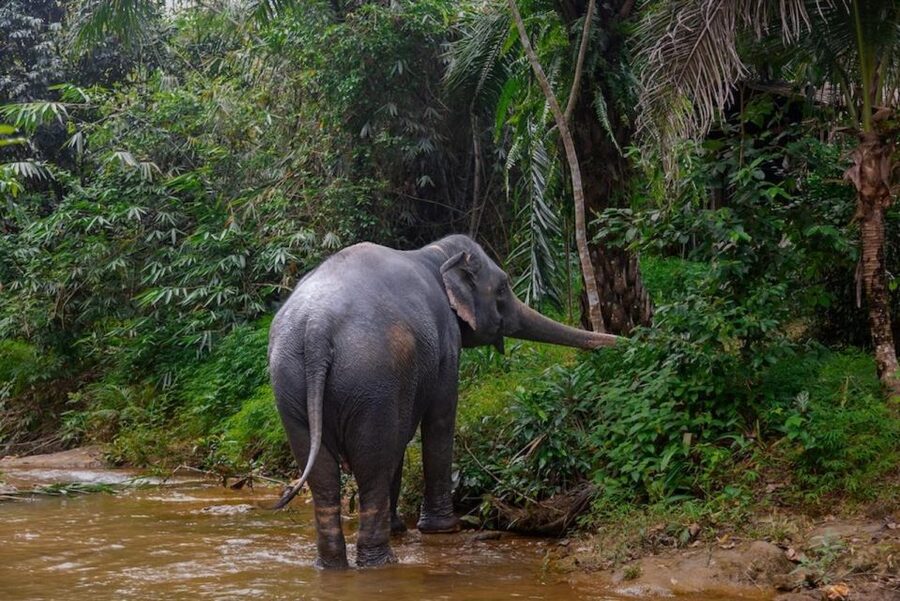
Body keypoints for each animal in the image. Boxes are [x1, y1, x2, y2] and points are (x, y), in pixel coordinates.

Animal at [267, 234, 617, 568]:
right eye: (503, 287)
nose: (624, 340)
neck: (434, 253)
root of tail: (317, 329)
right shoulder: (447, 342)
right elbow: (440, 417)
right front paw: (445, 528)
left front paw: (403, 527)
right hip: (369, 379)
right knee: (373, 463)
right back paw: (381, 562)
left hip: (291, 385)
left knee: (324, 475)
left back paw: (332, 565)